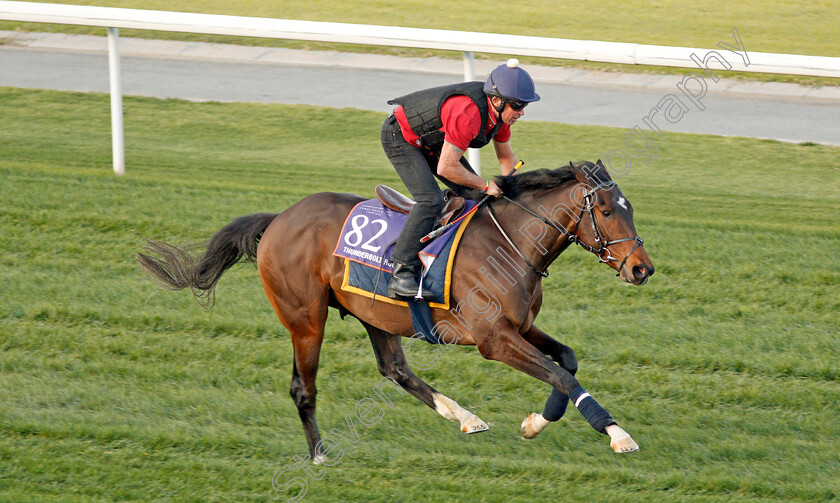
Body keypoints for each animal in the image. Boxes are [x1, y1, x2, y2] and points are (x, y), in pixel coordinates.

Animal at [138, 160, 652, 460]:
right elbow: (561, 374)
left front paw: (535, 423)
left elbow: (566, 361)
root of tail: (279, 219)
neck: (511, 243)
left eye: (629, 207)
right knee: (303, 387)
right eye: (607, 211)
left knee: (395, 369)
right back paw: (320, 454)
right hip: (305, 318)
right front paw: (617, 434)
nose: (642, 268)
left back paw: (463, 415)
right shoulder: (493, 339)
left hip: (374, 313)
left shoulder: (521, 326)